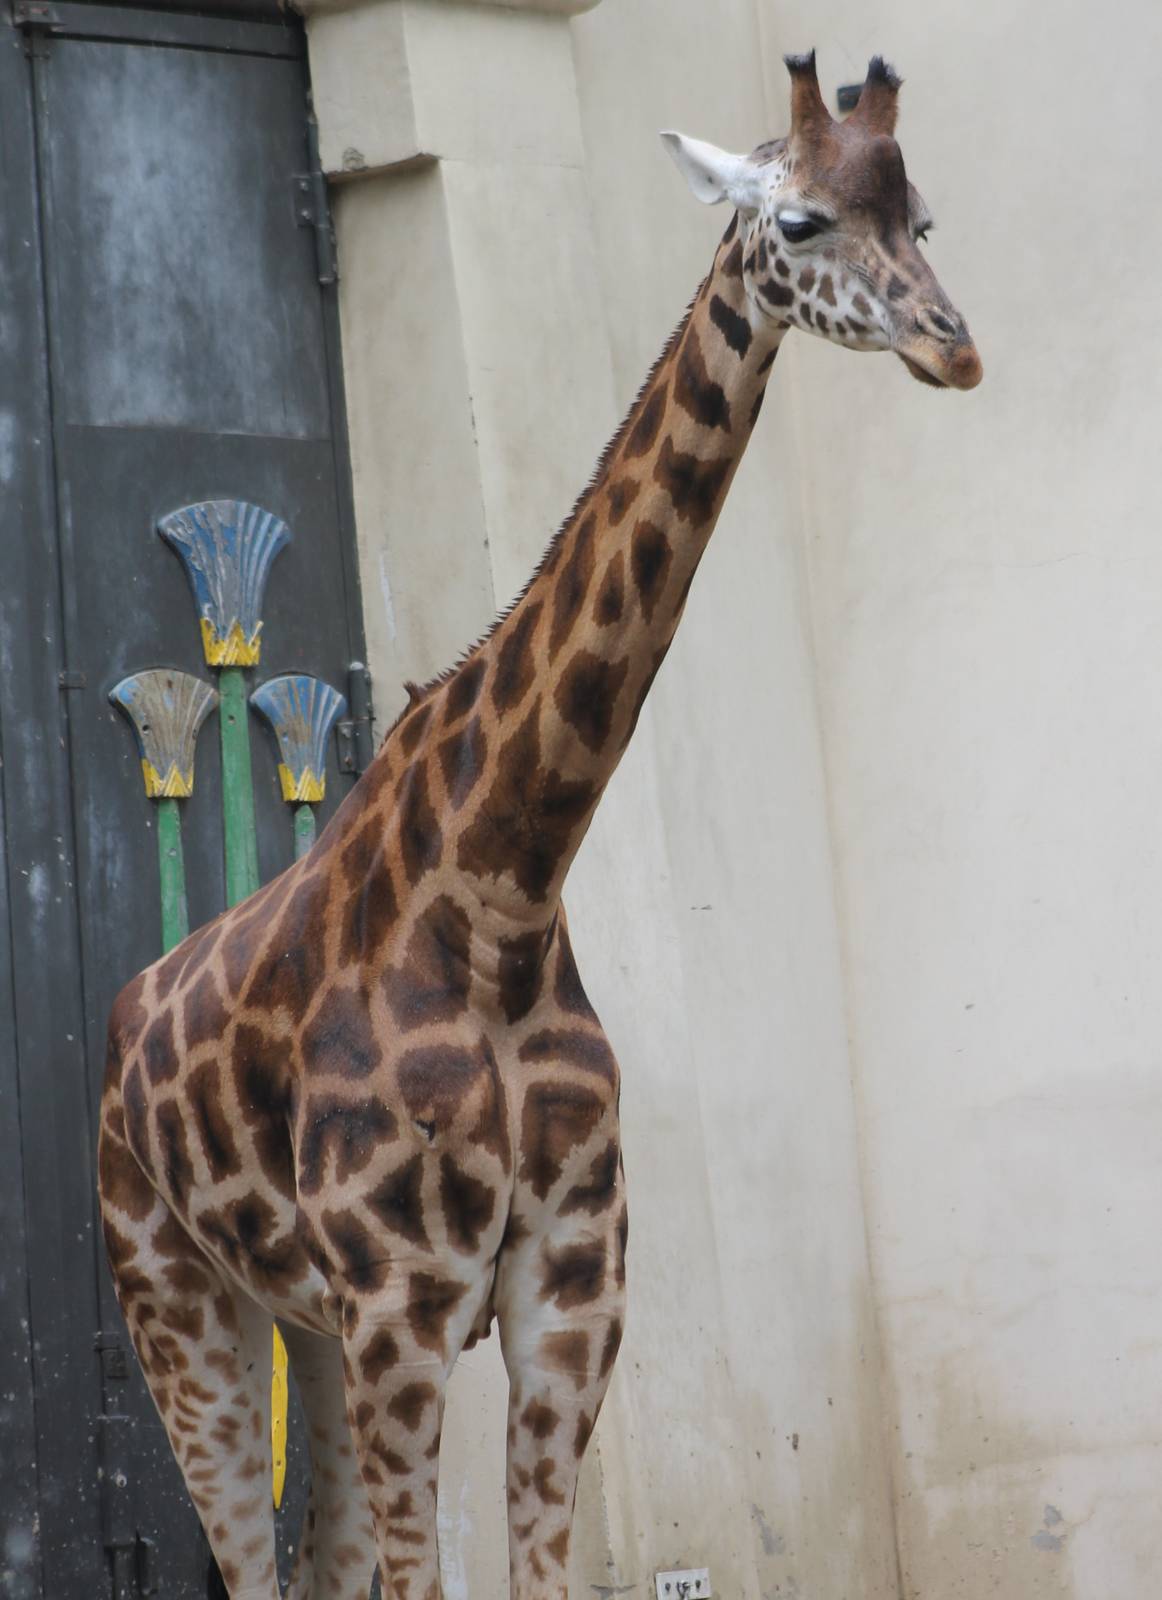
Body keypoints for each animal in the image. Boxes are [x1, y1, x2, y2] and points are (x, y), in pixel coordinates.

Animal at [98, 51, 981, 1600]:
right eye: (799, 221)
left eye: (919, 217)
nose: (954, 350)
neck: (503, 889)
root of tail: (121, 1017)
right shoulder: (404, 1302)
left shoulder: (571, 1293)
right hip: (175, 1295)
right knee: (249, 1556)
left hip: (303, 1325)